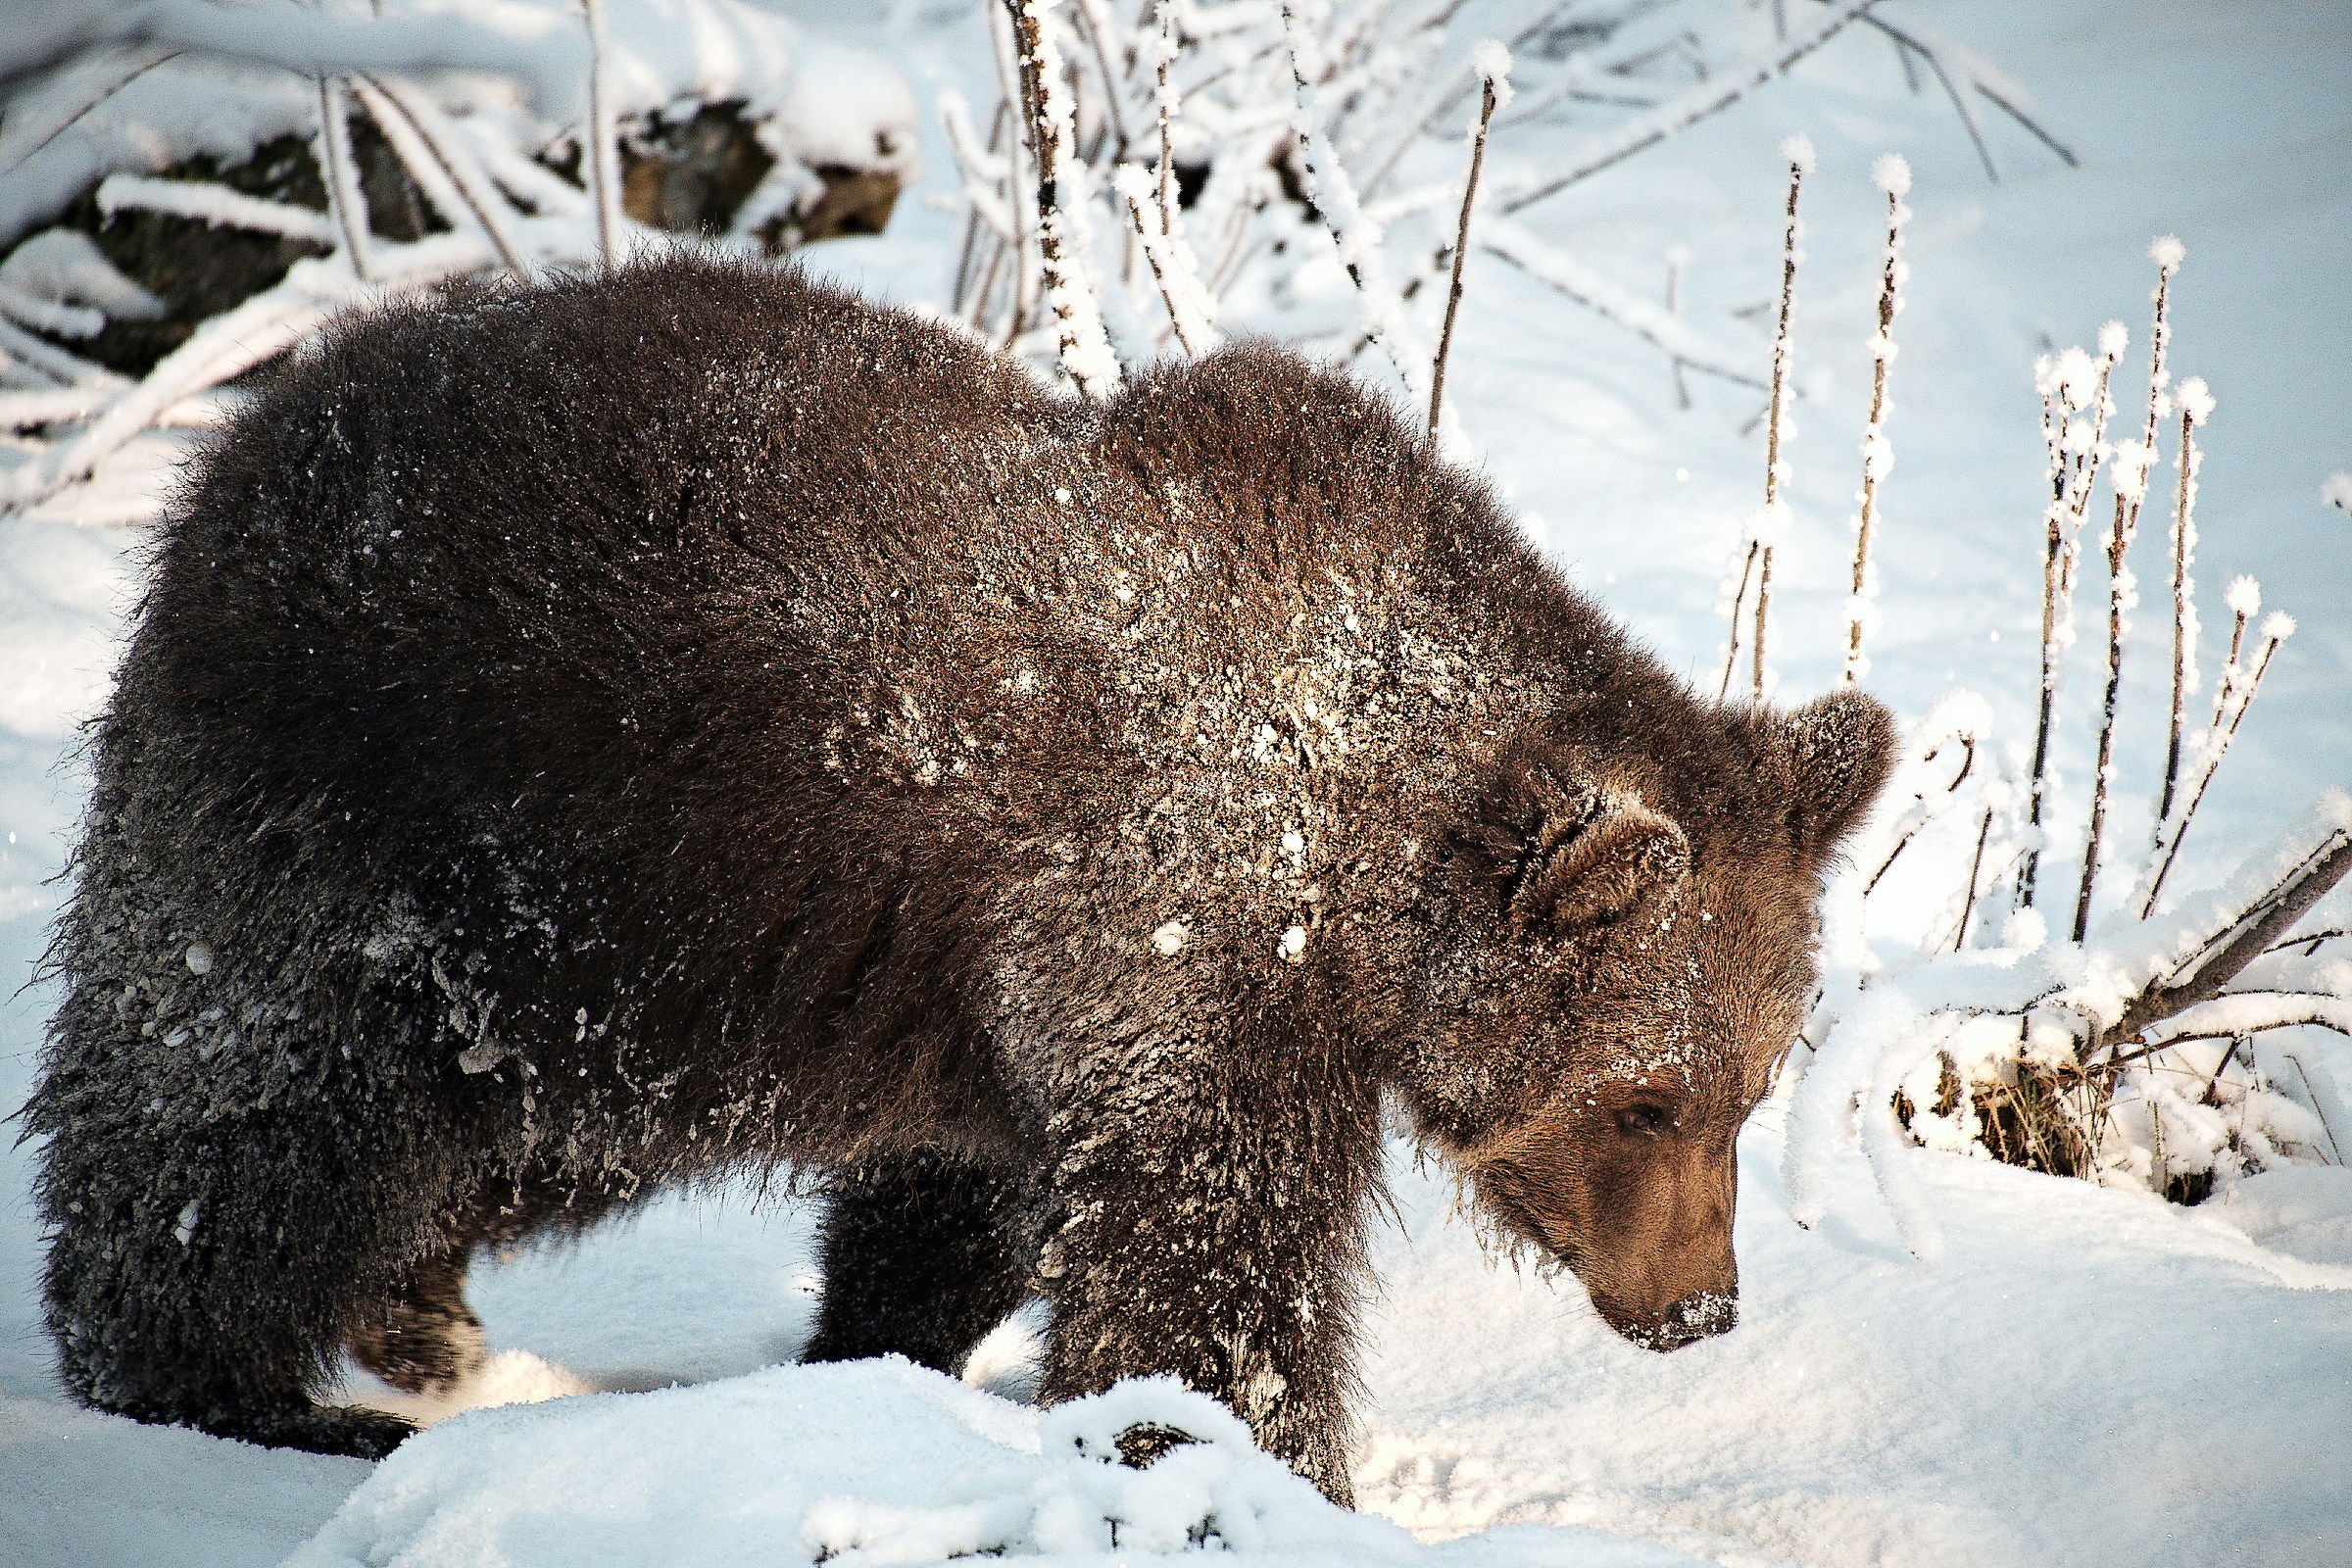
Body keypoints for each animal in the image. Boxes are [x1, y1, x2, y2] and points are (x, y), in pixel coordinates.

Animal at [25, 253, 1895, 1505]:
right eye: (1644, 1097)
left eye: (1751, 1084)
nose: (1701, 1310)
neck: (1355, 864)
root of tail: (247, 441)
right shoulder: (1179, 944)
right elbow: (1208, 1286)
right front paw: (1255, 1468)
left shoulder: (1008, 991)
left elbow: (961, 1211)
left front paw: (871, 1363)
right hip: (401, 820)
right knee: (249, 1109)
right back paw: (239, 1389)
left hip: (572, 972)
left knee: (462, 1141)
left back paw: (414, 1322)